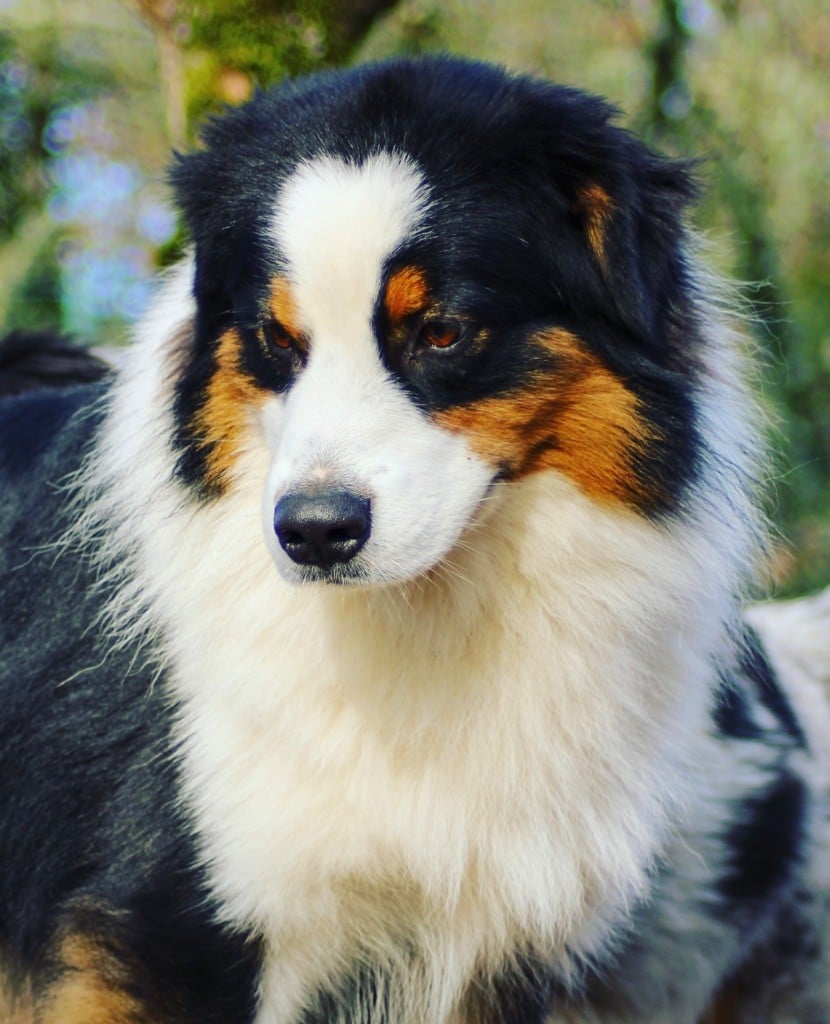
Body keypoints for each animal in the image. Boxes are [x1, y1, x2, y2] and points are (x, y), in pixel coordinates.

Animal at [1, 55, 829, 1024]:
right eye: (275, 338)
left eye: (441, 331)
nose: (314, 533)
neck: (423, 611)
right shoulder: (166, 924)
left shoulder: (496, 936)